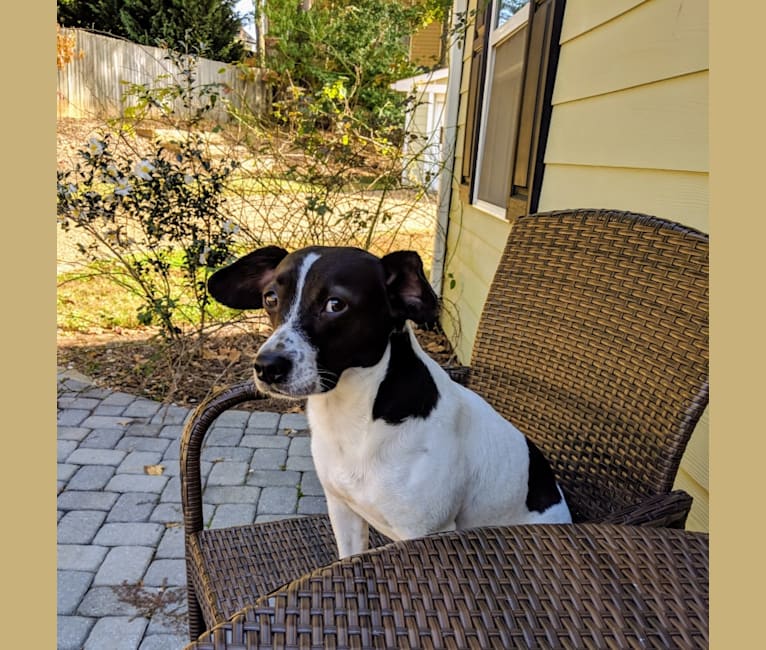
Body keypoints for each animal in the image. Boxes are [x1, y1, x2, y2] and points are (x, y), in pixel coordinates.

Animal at [207, 246, 572, 556]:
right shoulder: (343, 511)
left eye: (335, 304)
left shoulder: (426, 533)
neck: (355, 418)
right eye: (270, 297)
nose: (267, 367)